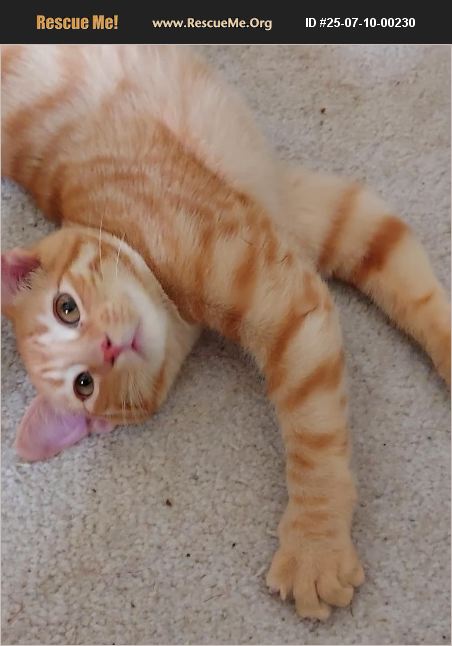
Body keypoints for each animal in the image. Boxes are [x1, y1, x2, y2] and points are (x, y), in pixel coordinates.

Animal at [1, 45, 450, 620]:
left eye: (67, 309)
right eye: (85, 385)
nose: (109, 345)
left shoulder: (294, 248)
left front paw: (314, 546)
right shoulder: (302, 263)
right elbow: (318, 427)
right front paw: (316, 544)